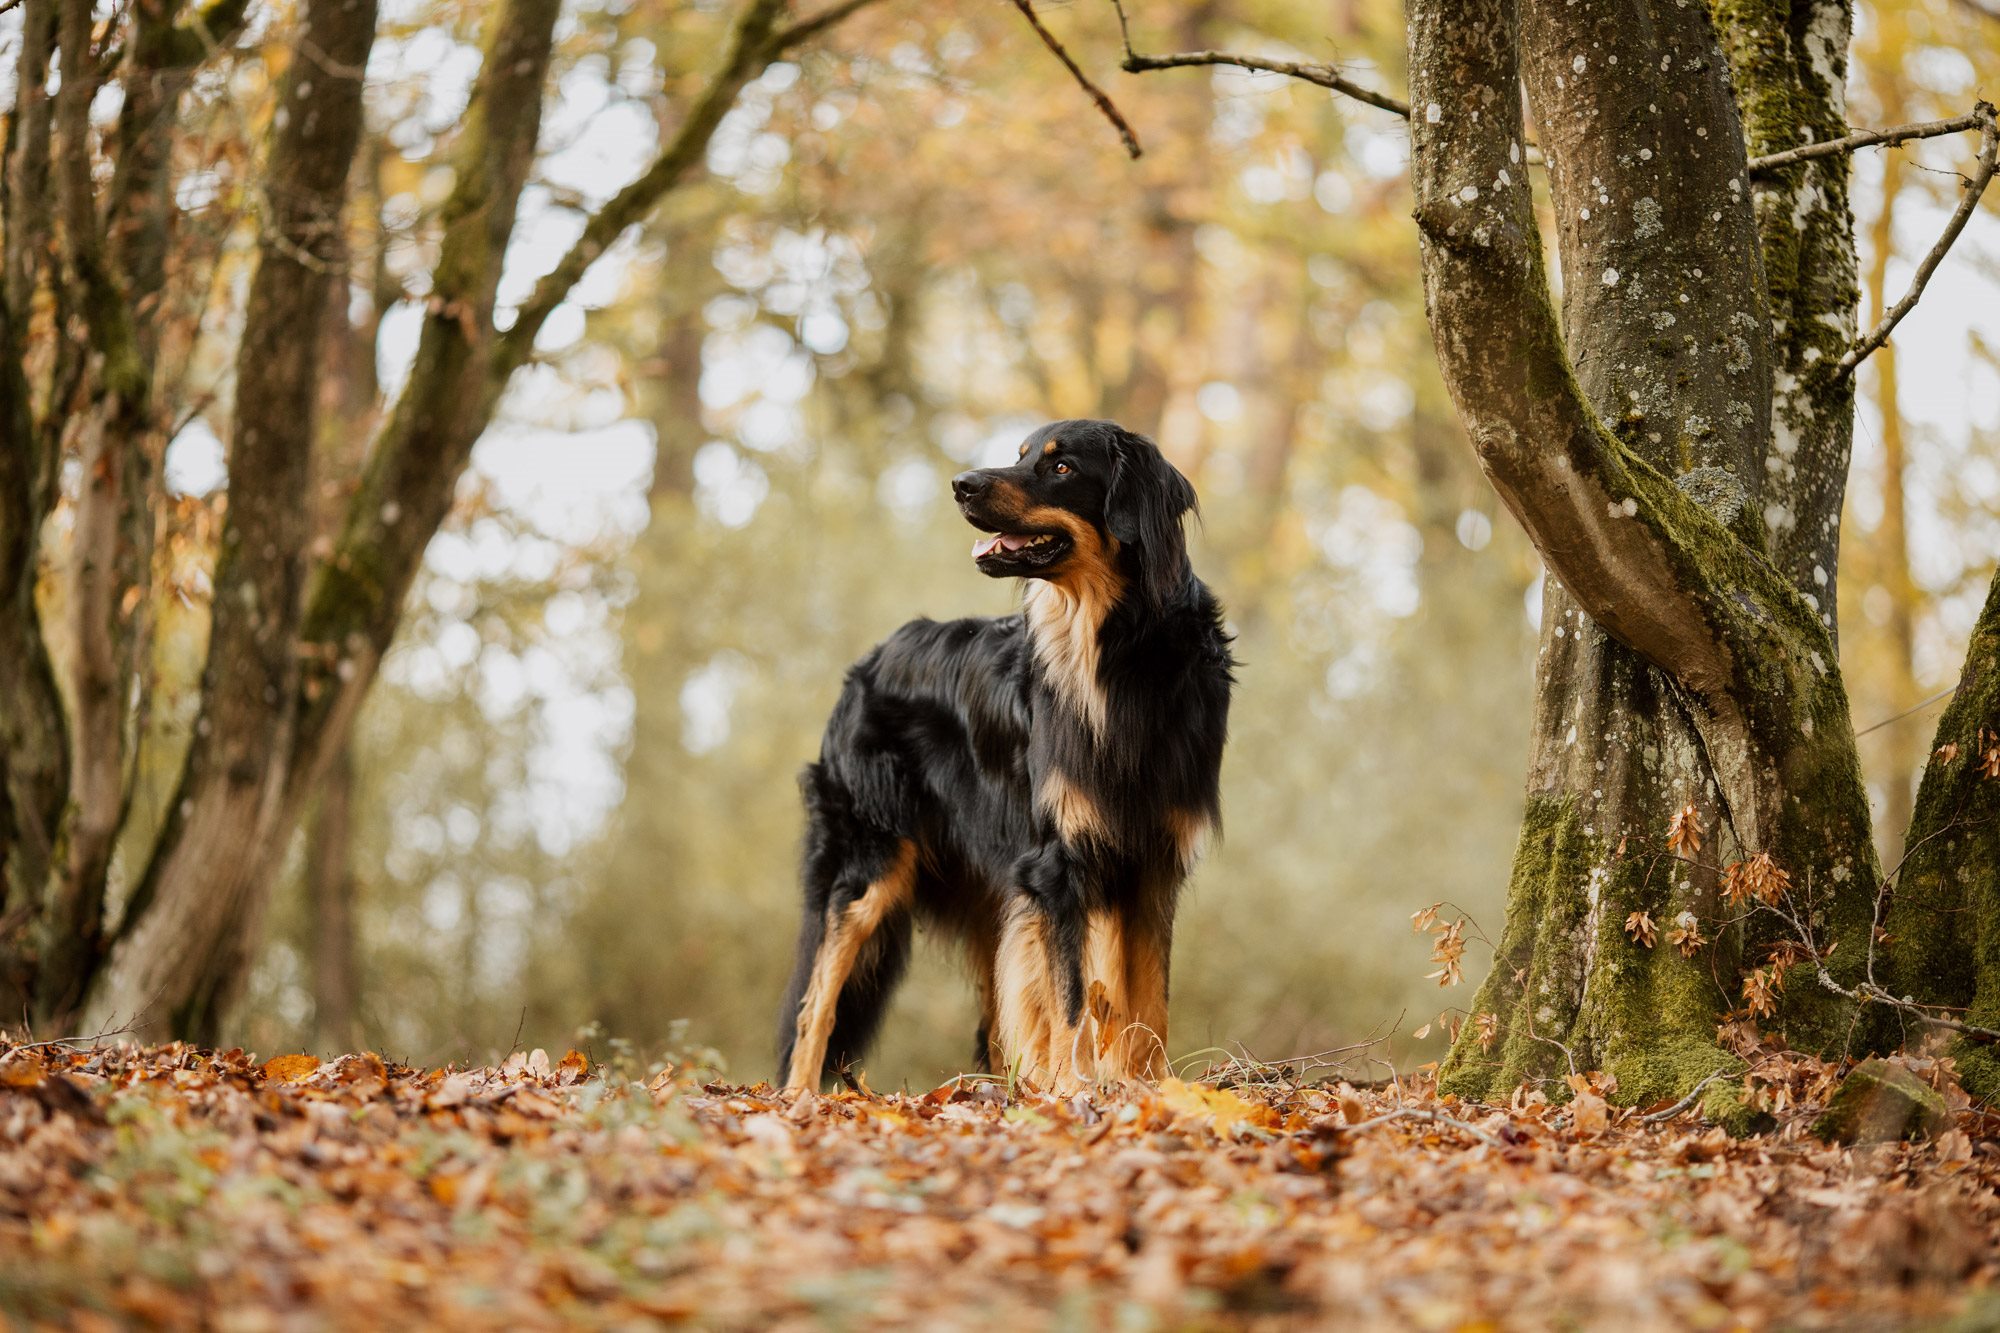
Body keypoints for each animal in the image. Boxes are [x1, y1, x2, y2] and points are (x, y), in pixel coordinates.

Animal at [772, 418, 1224, 1088]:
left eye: (1061, 467)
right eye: (1021, 454)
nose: (961, 484)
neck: (1117, 651)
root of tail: (872, 659)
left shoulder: (1150, 863)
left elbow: (1146, 1005)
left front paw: (1148, 1091)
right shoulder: (1058, 863)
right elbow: (1071, 1004)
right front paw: (1077, 1090)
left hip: (991, 894)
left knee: (990, 1019)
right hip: (868, 863)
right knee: (816, 1006)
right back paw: (800, 1095)